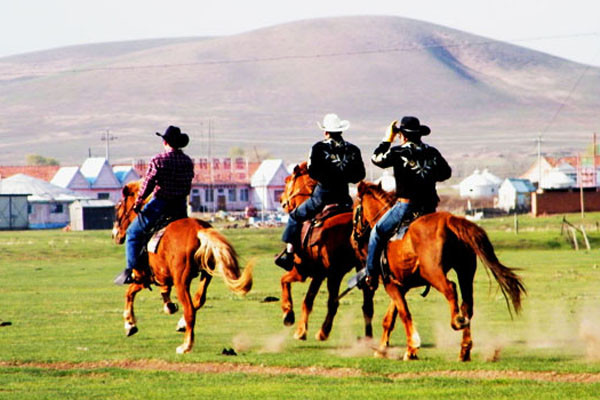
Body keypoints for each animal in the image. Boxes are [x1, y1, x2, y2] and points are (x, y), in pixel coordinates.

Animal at [112, 181, 253, 354]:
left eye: (118, 206)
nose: (115, 234)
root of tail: (199, 230)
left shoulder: (143, 277)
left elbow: (129, 293)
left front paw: (130, 324)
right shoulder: (160, 277)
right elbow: (159, 291)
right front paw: (169, 306)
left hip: (182, 281)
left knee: (190, 310)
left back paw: (185, 345)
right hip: (206, 274)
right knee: (199, 299)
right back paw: (181, 324)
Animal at [278, 162, 372, 340]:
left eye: (287, 181)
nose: (281, 200)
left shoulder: (304, 272)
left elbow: (286, 283)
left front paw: (291, 318)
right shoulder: (321, 274)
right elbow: (306, 298)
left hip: (334, 274)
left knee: (333, 302)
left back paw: (322, 332)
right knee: (365, 306)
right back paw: (367, 337)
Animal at [352, 182, 524, 362]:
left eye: (356, 208)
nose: (354, 236)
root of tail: (449, 221)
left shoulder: (391, 285)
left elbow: (404, 314)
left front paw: (411, 348)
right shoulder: (399, 285)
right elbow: (390, 318)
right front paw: (384, 349)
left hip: (434, 274)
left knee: (450, 288)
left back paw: (456, 321)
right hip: (465, 271)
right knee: (467, 304)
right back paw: (464, 349)